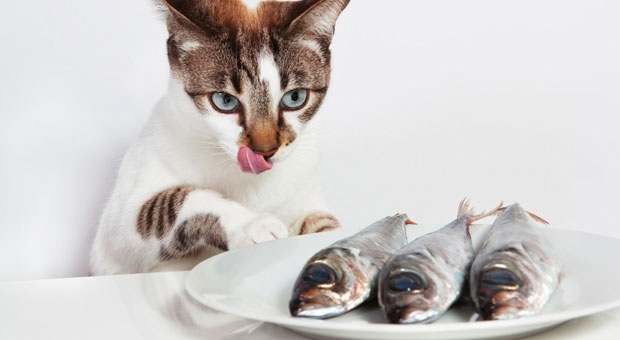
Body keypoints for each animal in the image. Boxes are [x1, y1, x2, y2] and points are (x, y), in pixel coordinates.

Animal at [88, 0, 348, 274]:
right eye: (225, 101)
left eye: (295, 98)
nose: (265, 151)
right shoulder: (117, 232)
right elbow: (174, 202)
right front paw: (251, 224)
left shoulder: (304, 195)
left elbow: (322, 224)